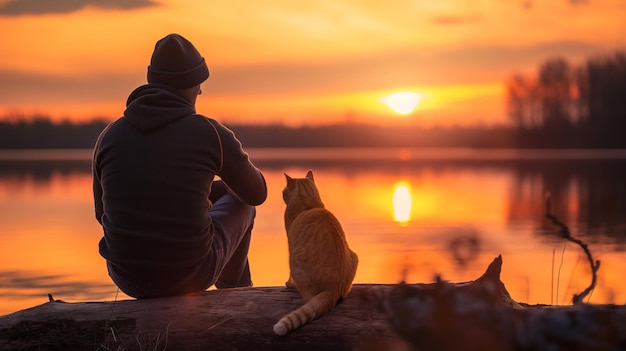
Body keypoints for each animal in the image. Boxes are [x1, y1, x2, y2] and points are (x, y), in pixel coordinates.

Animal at [272, 172, 356, 336]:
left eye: (283, 191)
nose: (282, 194)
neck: (309, 202)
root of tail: (333, 288)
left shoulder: (290, 242)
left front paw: (289, 283)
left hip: (293, 260)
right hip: (355, 256)